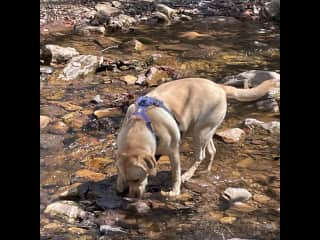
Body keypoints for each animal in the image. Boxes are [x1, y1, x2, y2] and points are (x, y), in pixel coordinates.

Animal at [115, 78, 278, 198]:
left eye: (136, 179)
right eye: (127, 180)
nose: (131, 196)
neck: (142, 125)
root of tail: (219, 87)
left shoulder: (173, 152)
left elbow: (175, 174)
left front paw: (175, 191)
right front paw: (119, 184)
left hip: (199, 133)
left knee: (201, 156)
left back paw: (187, 175)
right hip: (206, 130)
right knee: (212, 151)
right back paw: (206, 171)